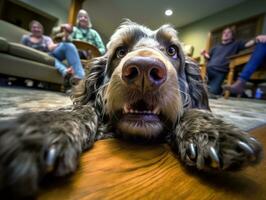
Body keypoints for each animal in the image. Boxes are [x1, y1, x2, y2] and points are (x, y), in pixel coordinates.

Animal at [0, 19, 262, 198]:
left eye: (172, 50)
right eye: (120, 51)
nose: (144, 70)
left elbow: (192, 111)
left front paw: (213, 131)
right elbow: (83, 109)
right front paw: (41, 130)